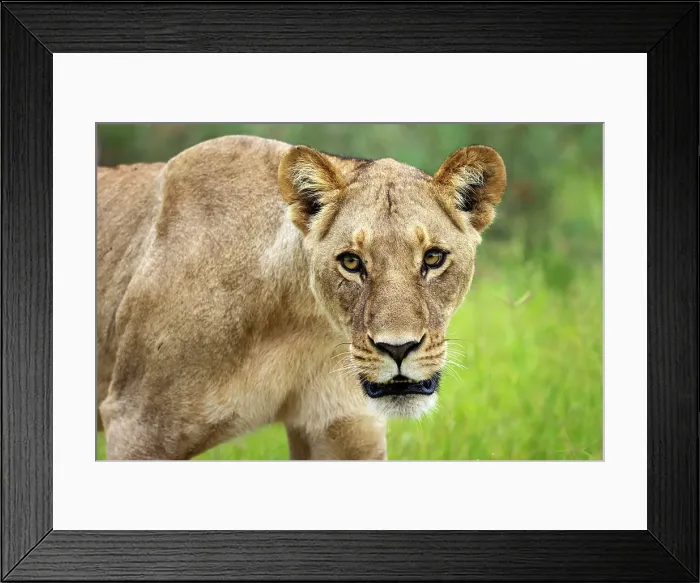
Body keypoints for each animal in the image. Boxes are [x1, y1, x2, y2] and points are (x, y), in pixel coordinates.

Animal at [97, 135, 506, 460]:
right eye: (351, 262)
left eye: (433, 258)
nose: (398, 348)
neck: (305, 324)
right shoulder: (139, 424)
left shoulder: (343, 429)